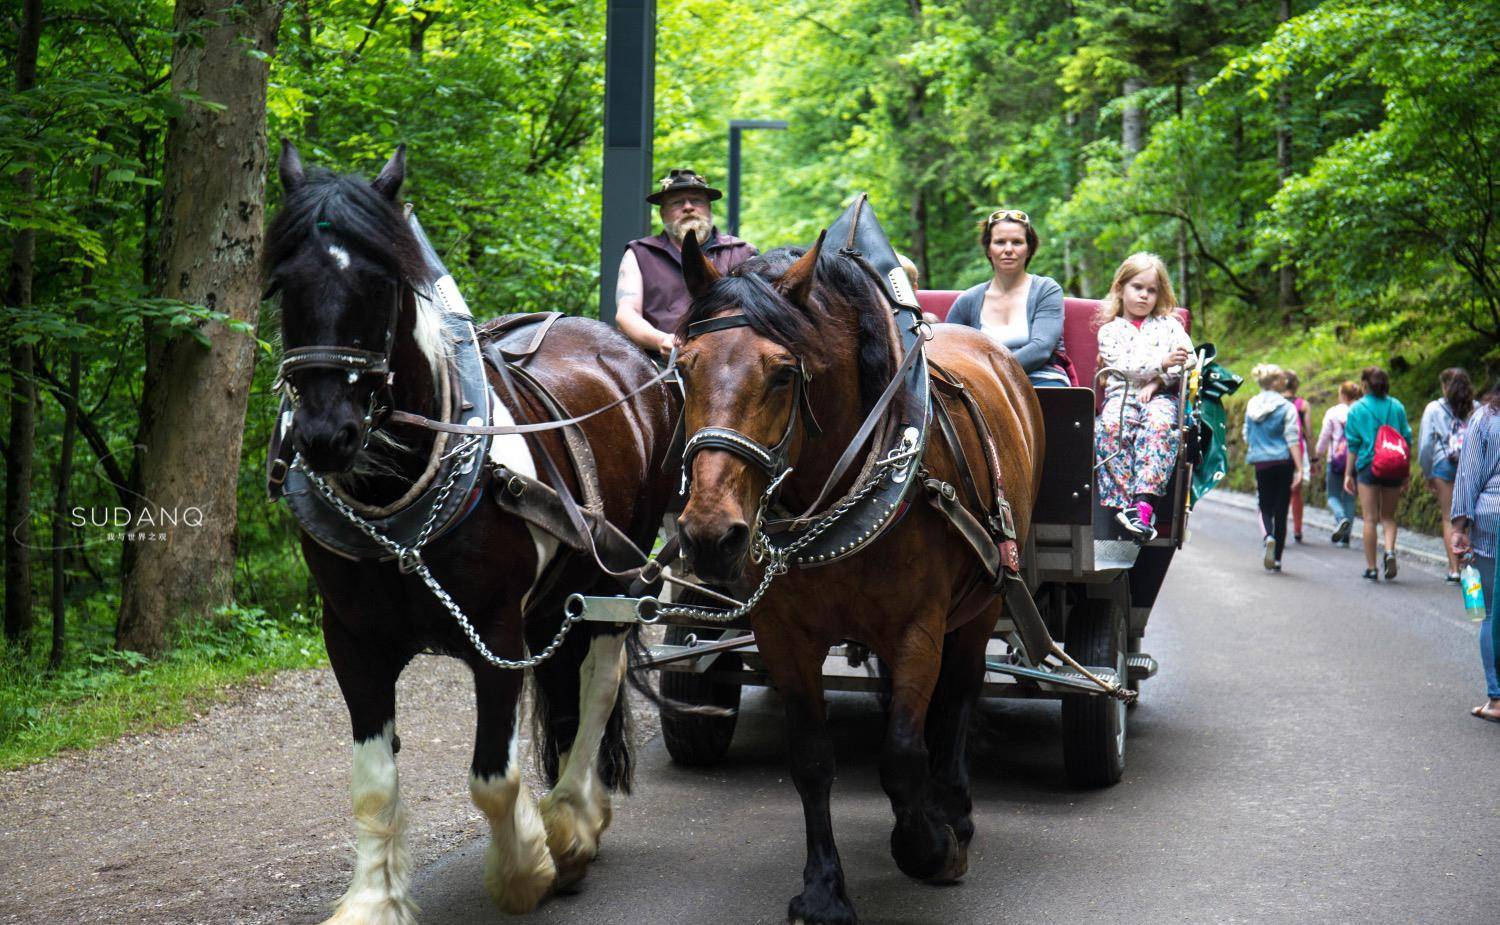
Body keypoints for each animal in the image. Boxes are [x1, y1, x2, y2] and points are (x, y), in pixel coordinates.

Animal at [264, 142, 675, 917]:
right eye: (281, 284)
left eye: (381, 282)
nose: (325, 435)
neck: (402, 507)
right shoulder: (352, 639)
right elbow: (373, 783)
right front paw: (372, 900)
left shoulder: (496, 631)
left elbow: (493, 775)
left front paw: (526, 869)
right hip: (559, 598)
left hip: (616, 579)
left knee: (599, 683)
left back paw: (573, 820)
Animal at [675, 233, 1038, 917]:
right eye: (683, 366)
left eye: (783, 373)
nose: (710, 533)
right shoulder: (782, 634)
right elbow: (812, 758)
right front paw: (823, 888)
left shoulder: (918, 628)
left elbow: (900, 752)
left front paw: (930, 846)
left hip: (982, 603)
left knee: (960, 693)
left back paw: (954, 811)